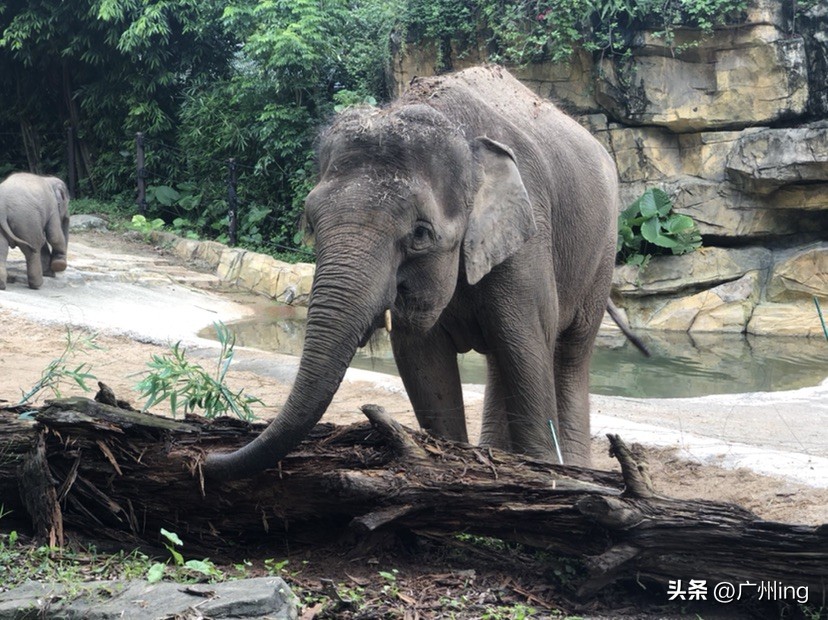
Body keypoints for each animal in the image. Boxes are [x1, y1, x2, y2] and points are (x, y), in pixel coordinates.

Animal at [205, 65, 623, 481]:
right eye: (310, 223)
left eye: (420, 234)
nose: (209, 459)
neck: (457, 128)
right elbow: (423, 362)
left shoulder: (527, 242)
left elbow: (528, 349)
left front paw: (547, 472)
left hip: (604, 250)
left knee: (570, 352)